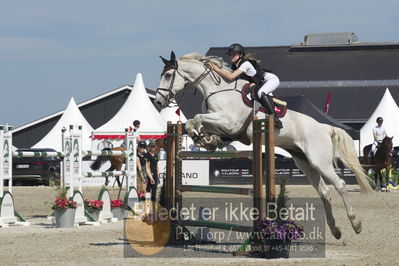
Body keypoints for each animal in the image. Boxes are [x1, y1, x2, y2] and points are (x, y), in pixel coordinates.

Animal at [155, 51, 376, 239]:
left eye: (168, 75)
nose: (158, 102)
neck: (217, 89)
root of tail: (323, 127)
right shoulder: (222, 124)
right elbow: (195, 121)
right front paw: (206, 140)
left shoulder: (229, 122)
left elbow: (198, 117)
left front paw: (204, 138)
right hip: (304, 163)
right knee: (324, 191)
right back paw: (335, 229)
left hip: (319, 161)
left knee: (339, 185)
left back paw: (356, 224)